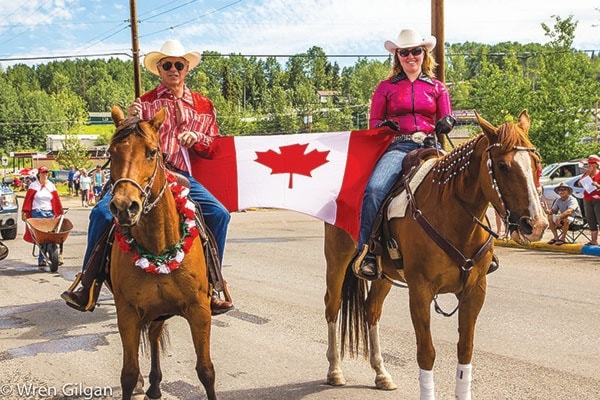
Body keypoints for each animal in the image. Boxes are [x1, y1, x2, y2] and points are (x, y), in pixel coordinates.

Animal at [109, 106, 217, 400]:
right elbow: (128, 374)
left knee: (156, 333)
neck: (158, 248)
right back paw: (153, 384)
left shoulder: (199, 309)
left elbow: (206, 371)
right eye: (111, 152)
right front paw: (136, 382)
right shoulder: (128, 313)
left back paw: (156, 384)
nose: (124, 207)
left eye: (152, 152)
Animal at [324, 110, 548, 400]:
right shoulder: (420, 290)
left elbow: (465, 349)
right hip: (337, 260)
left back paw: (381, 373)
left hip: (383, 275)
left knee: (371, 311)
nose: (537, 224)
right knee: (333, 306)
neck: (452, 215)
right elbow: (426, 353)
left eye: (536, 161)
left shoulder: (475, 290)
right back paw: (335, 369)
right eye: (502, 165)